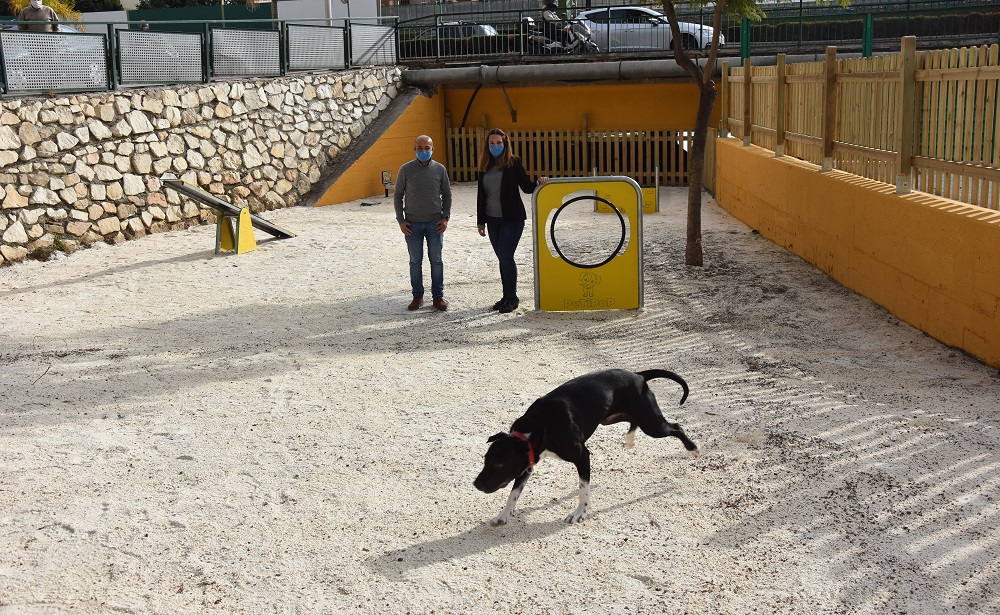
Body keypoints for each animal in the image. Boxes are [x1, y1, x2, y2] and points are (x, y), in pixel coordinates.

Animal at [474, 368, 696, 528]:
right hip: (612, 417)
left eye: (499, 464)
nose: (476, 484)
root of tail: (638, 376)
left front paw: (580, 513)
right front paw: (502, 515)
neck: (538, 427)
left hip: (652, 424)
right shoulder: (527, 463)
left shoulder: (582, 457)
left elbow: (583, 489)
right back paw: (630, 439)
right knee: (632, 420)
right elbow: (514, 493)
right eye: (485, 460)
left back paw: (693, 448)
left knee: (675, 427)